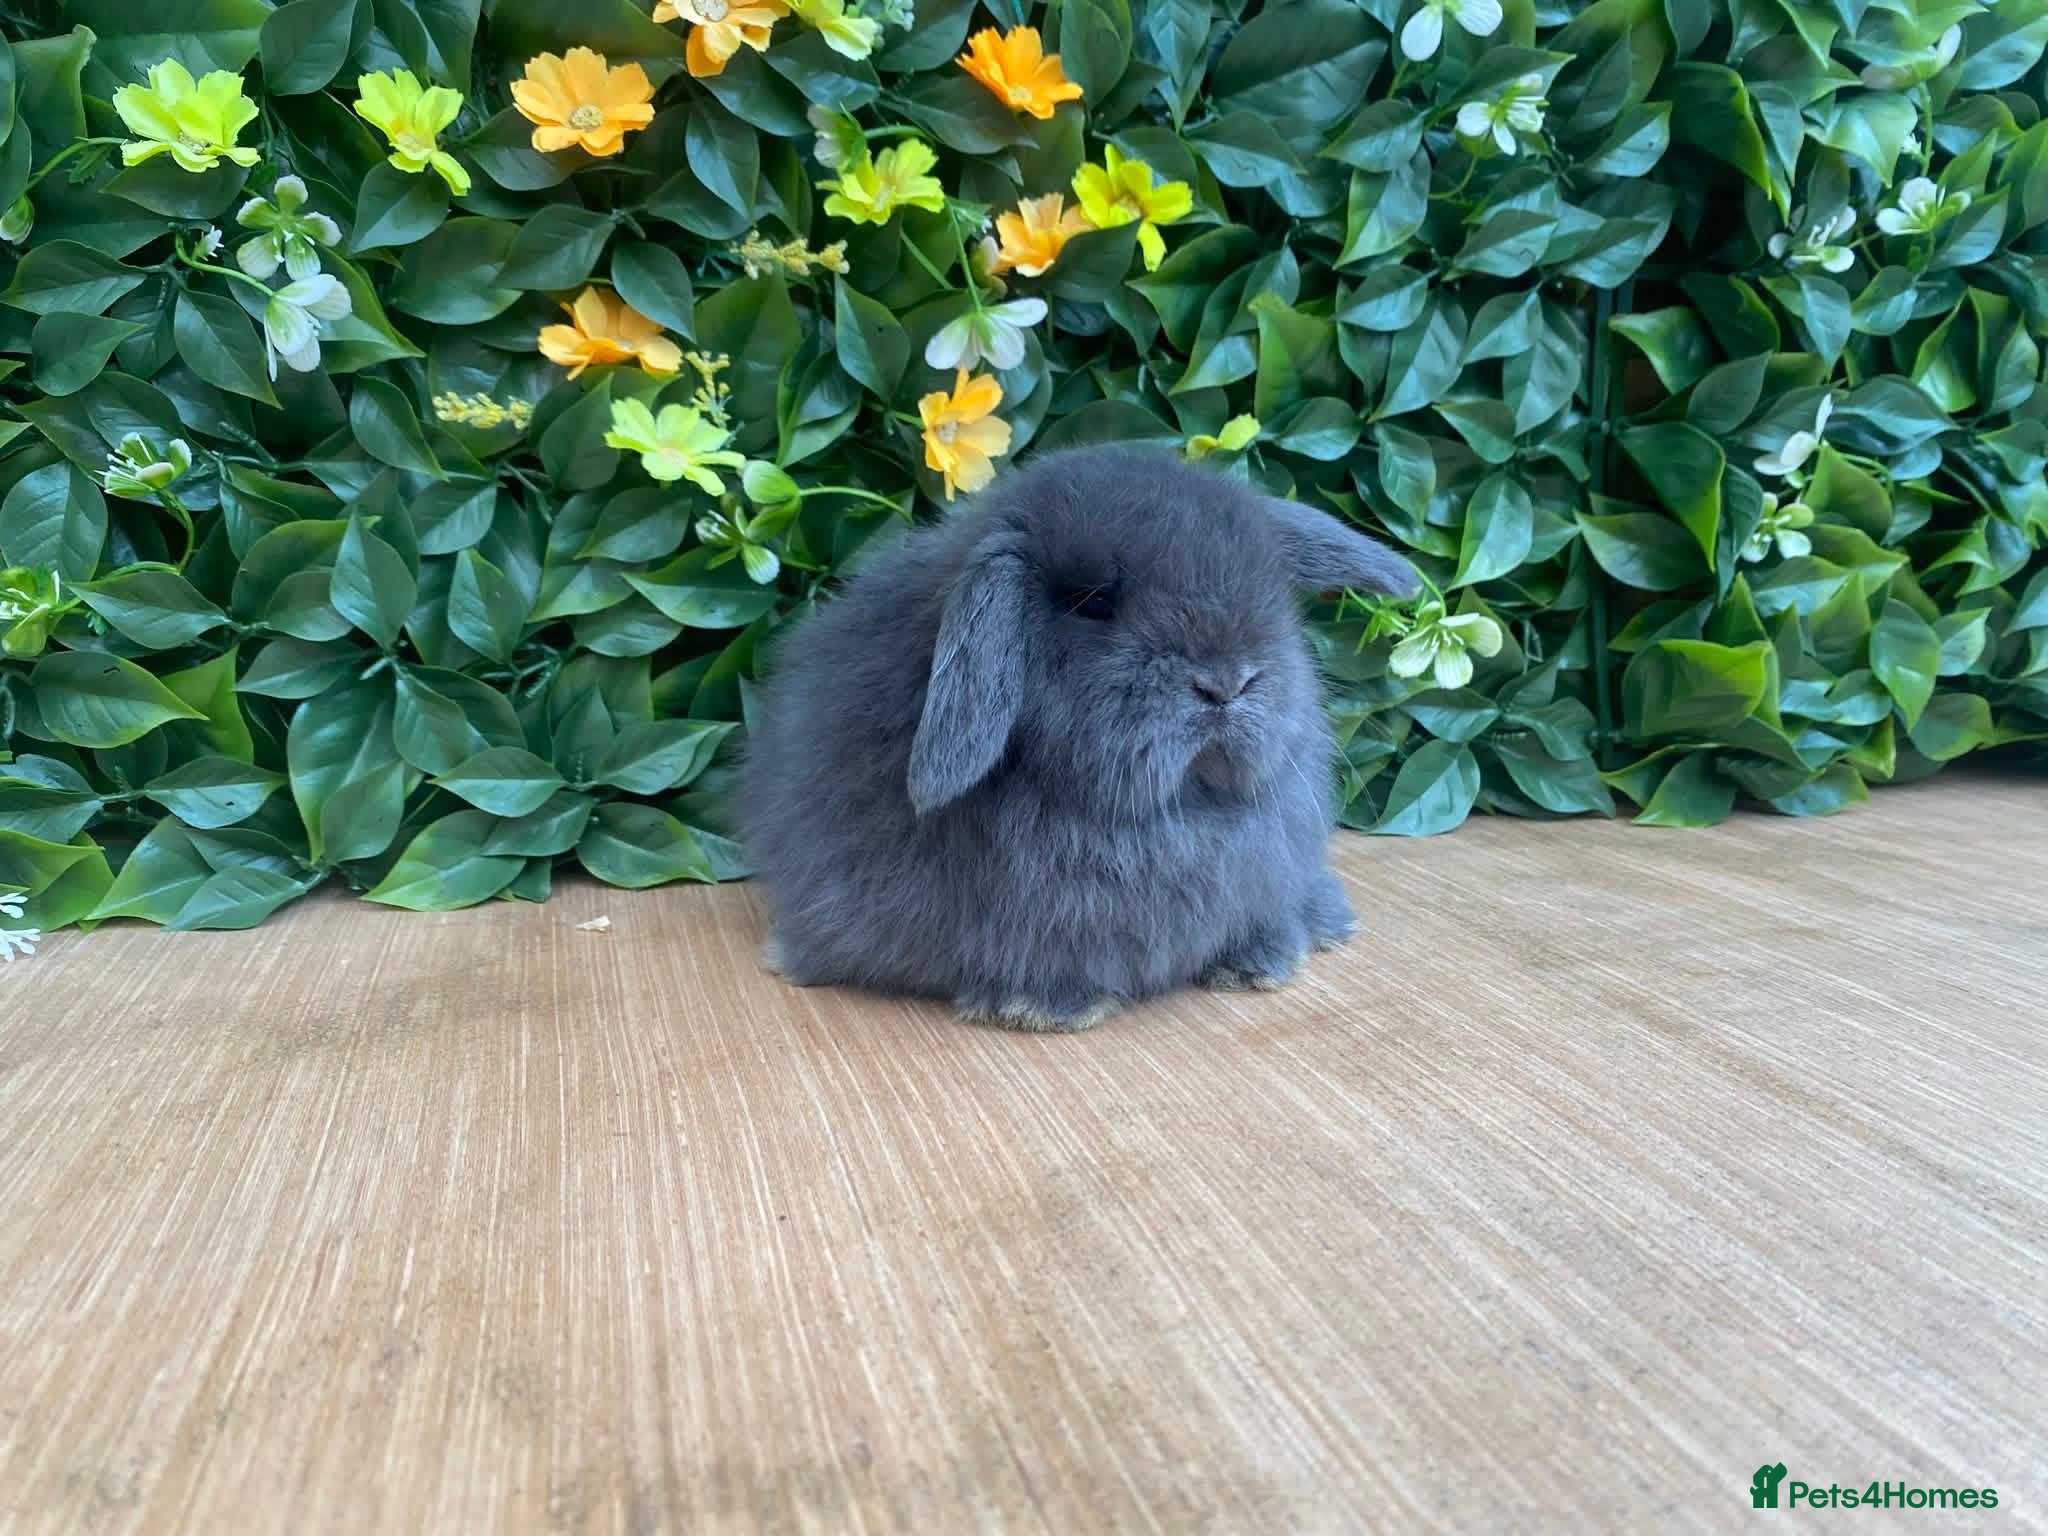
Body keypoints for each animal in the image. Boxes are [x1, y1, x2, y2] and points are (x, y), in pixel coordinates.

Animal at [738, 443, 1420, 1031]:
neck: (1173, 813)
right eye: (1093, 603)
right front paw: (1038, 1006)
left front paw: (1263, 961)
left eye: (1271, 590)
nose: (1226, 682)